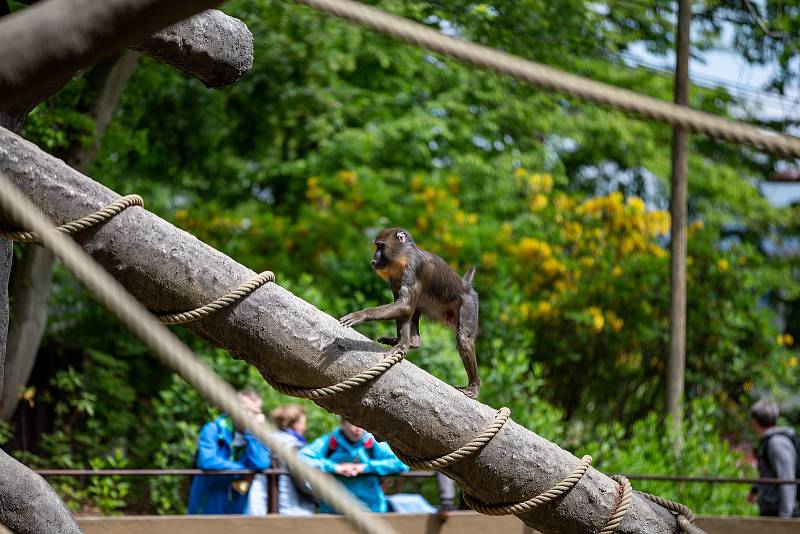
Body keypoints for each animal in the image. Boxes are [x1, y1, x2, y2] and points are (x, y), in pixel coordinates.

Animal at [340, 228, 482, 400]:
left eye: (381, 246)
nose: (374, 260)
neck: (402, 256)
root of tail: (467, 286)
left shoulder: (413, 268)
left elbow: (405, 305)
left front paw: (360, 315)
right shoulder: (395, 279)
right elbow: (403, 307)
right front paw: (402, 345)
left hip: (468, 304)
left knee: (464, 340)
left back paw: (474, 386)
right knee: (414, 308)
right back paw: (412, 342)